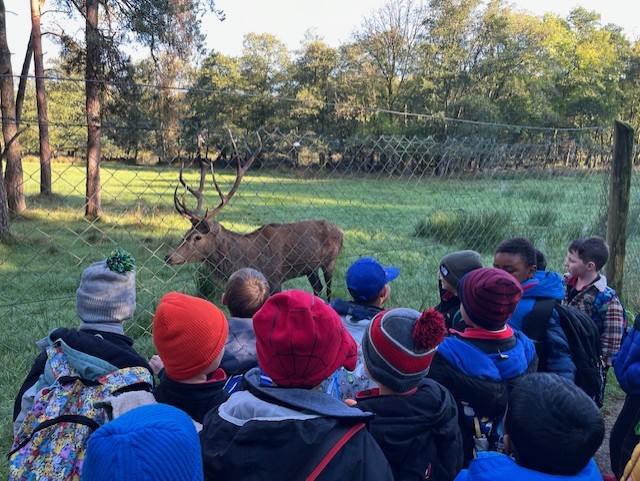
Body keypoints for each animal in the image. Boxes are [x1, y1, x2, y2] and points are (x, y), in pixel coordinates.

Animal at [164, 133, 343, 300]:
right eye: (186, 233)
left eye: (198, 237)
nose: (168, 256)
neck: (250, 260)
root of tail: (341, 232)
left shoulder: (275, 277)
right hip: (310, 268)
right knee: (318, 287)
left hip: (331, 260)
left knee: (328, 289)